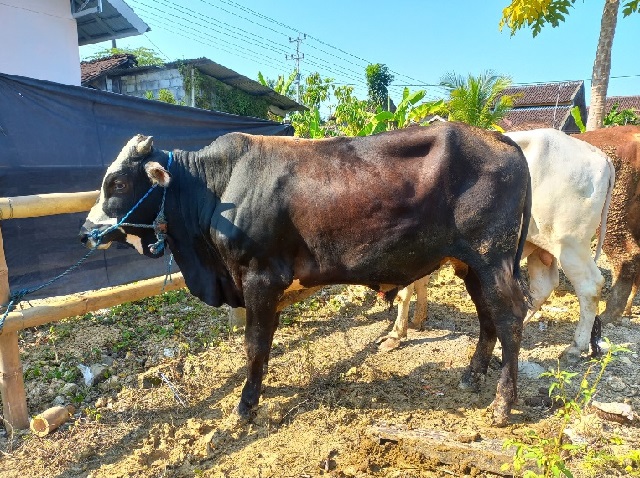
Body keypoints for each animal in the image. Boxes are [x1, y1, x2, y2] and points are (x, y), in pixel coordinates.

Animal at [79, 122, 532, 426]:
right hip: (473, 265)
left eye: (117, 182)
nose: (85, 233)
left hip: (492, 259)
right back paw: (472, 376)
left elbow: (254, 344)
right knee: (488, 317)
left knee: (510, 317)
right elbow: (263, 345)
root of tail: (499, 138)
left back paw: (502, 404)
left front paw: (246, 406)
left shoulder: (260, 278)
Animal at [378, 129, 615, 362]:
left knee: (590, 287)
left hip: (570, 246)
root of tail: (600, 156)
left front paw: (395, 335)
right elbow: (420, 284)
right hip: (540, 247)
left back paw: (575, 347)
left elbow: (405, 292)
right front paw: (417, 321)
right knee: (541, 288)